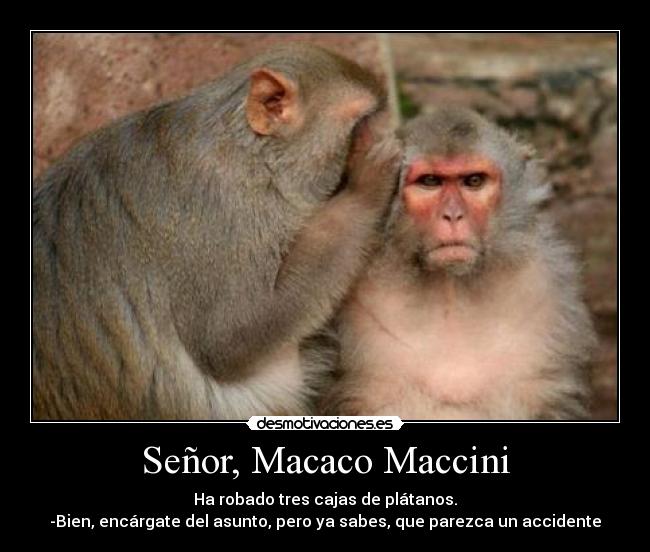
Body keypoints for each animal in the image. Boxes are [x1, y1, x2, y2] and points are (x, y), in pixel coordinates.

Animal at [32, 43, 401, 420]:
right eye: (365, 122)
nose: (391, 133)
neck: (255, 157)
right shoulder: (223, 212)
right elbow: (229, 337)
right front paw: (366, 189)